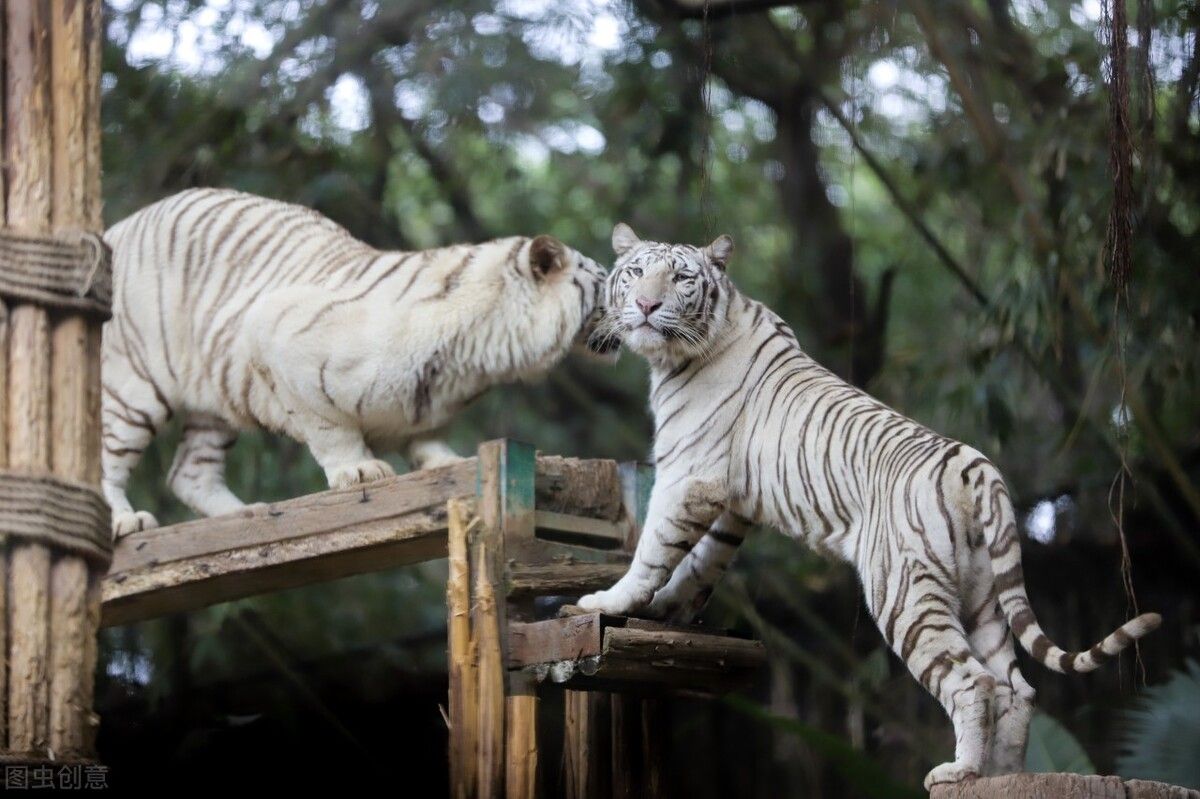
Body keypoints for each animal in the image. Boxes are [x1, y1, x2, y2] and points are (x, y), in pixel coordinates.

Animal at [98, 187, 614, 535]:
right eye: (606, 281)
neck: (476, 359)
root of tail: (111, 230)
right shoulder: (275, 335)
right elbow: (329, 428)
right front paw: (359, 470)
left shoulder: (425, 404)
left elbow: (425, 437)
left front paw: (446, 461)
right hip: (133, 387)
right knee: (104, 457)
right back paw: (126, 521)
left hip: (215, 403)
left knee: (189, 472)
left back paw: (246, 513)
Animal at [580, 220, 1161, 787]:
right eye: (636, 272)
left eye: (680, 279)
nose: (647, 305)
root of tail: (974, 464)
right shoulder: (733, 501)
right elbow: (702, 562)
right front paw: (668, 609)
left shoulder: (689, 476)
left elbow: (655, 548)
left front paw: (609, 600)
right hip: (983, 594)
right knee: (1015, 689)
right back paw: (1000, 775)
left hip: (905, 595)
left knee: (972, 681)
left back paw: (959, 771)